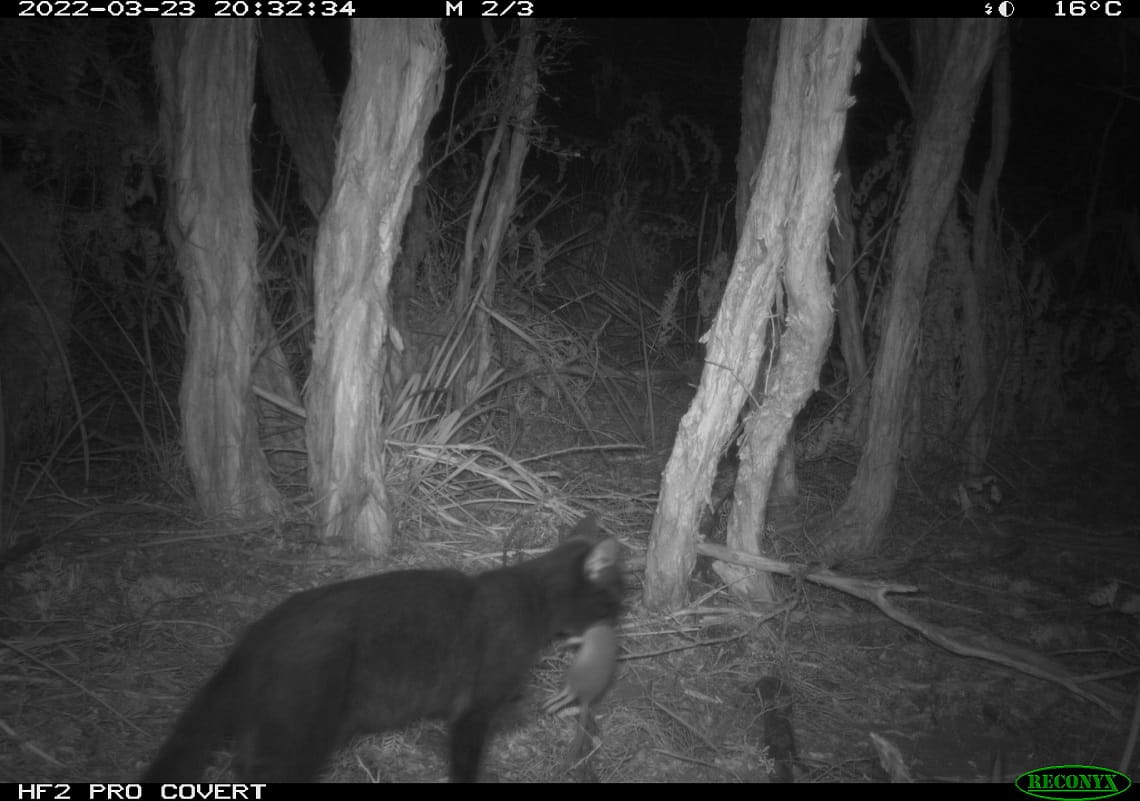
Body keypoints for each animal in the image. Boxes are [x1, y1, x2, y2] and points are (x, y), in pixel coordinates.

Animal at [144, 515, 624, 783]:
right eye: (613, 596)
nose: (621, 616)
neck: (532, 597)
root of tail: (255, 635)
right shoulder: (472, 710)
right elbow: (466, 762)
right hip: (299, 730)